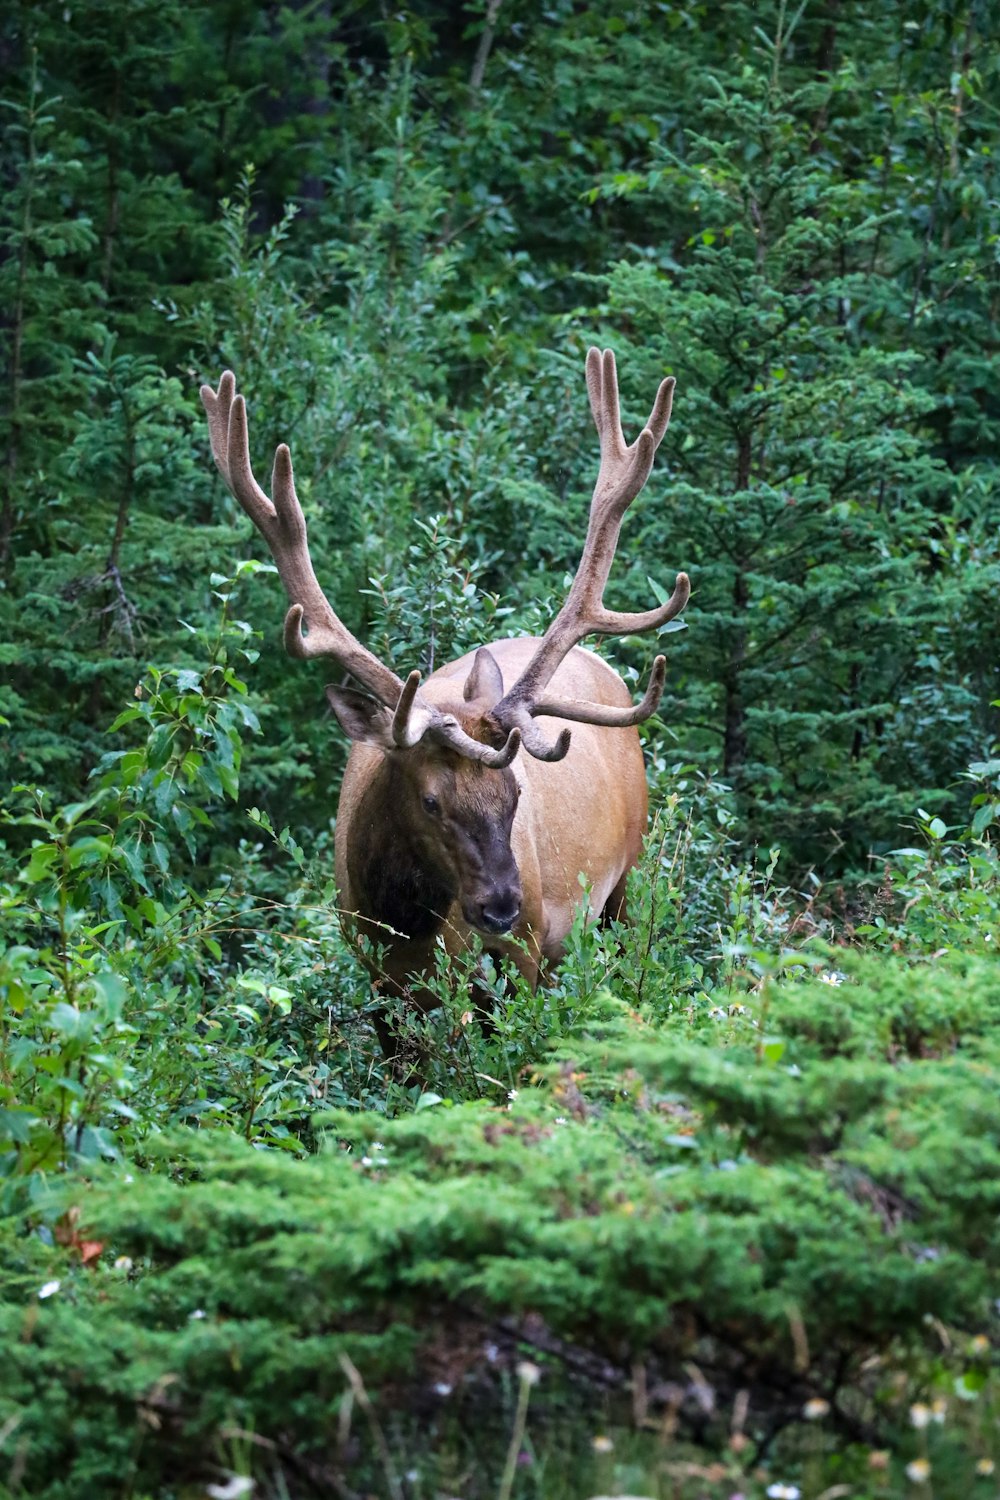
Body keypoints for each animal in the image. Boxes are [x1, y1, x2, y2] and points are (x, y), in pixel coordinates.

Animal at [200, 349, 689, 1056]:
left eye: (516, 794)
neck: (400, 923)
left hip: (626, 879)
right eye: (431, 800)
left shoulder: (519, 958)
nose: (501, 907)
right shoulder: (374, 978)